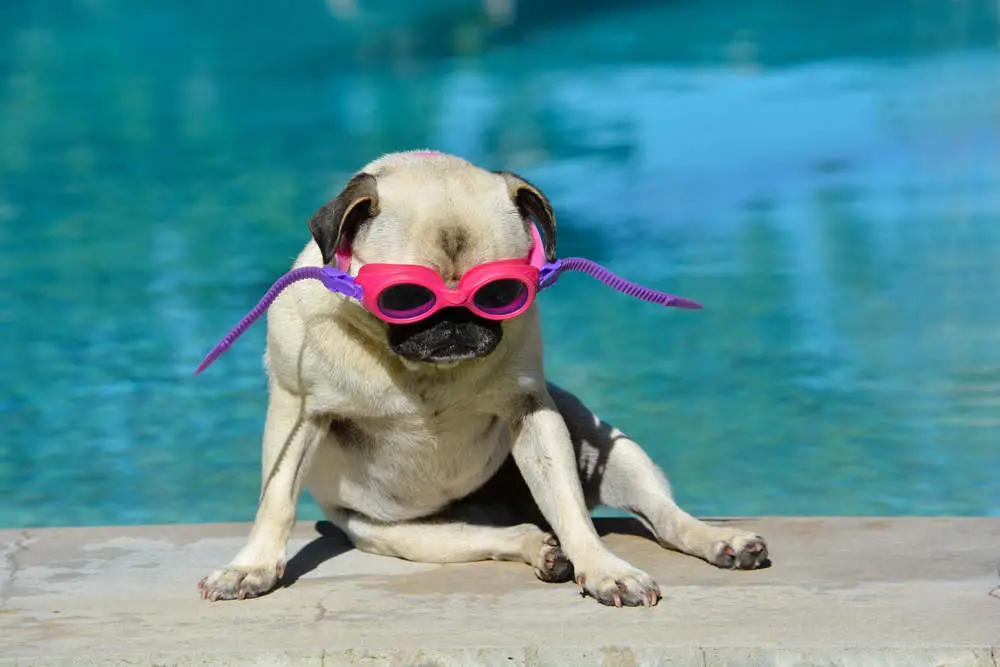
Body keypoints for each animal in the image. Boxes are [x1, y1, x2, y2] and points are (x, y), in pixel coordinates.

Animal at [199, 150, 768, 604]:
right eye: (405, 298)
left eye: (499, 293)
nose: (455, 321)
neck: (422, 373)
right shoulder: (299, 410)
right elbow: (276, 500)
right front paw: (252, 567)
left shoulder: (534, 415)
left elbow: (570, 507)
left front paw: (603, 569)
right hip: (399, 535)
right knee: (499, 535)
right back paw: (540, 549)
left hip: (610, 447)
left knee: (660, 516)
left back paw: (719, 542)